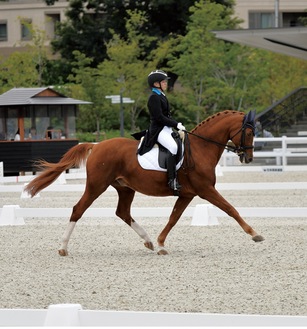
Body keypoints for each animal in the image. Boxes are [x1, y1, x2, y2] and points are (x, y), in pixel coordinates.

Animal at [25, 110, 264, 256]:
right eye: (249, 132)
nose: (248, 158)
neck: (200, 149)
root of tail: (96, 145)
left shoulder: (187, 194)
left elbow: (173, 218)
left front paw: (160, 244)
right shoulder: (205, 190)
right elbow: (230, 209)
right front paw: (255, 234)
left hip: (125, 188)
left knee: (122, 212)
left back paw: (147, 241)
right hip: (96, 186)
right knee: (78, 209)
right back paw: (63, 248)